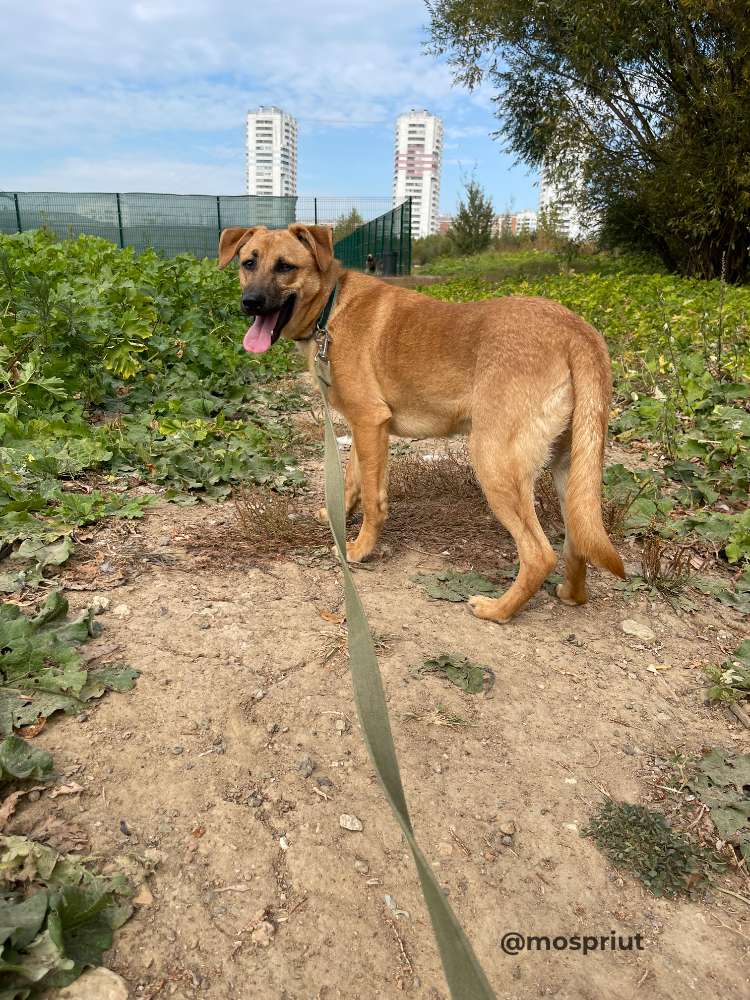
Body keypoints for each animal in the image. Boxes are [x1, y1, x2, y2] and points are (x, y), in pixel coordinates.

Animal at [219, 223, 628, 620]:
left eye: (285, 266)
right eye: (249, 262)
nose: (249, 303)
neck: (330, 309)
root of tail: (578, 331)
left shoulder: (370, 420)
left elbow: (373, 498)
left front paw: (360, 549)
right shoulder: (365, 429)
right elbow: (353, 481)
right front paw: (336, 517)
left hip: (495, 461)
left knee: (540, 554)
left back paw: (497, 611)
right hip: (568, 470)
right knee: (578, 539)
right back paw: (571, 594)